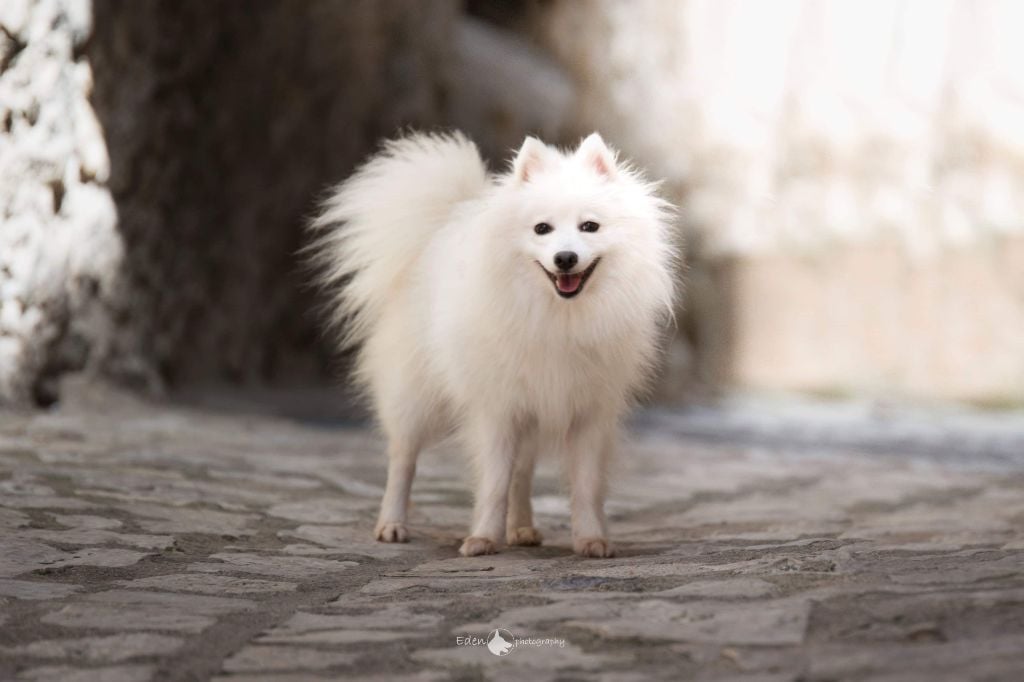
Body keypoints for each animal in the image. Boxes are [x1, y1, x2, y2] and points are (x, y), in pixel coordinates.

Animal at [311, 130, 679, 557]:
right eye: (542, 229)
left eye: (590, 226)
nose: (565, 258)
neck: (558, 316)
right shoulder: (497, 408)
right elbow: (493, 481)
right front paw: (484, 538)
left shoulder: (586, 411)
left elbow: (584, 486)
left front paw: (590, 539)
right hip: (415, 395)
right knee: (403, 458)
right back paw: (392, 524)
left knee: (523, 471)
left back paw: (522, 528)